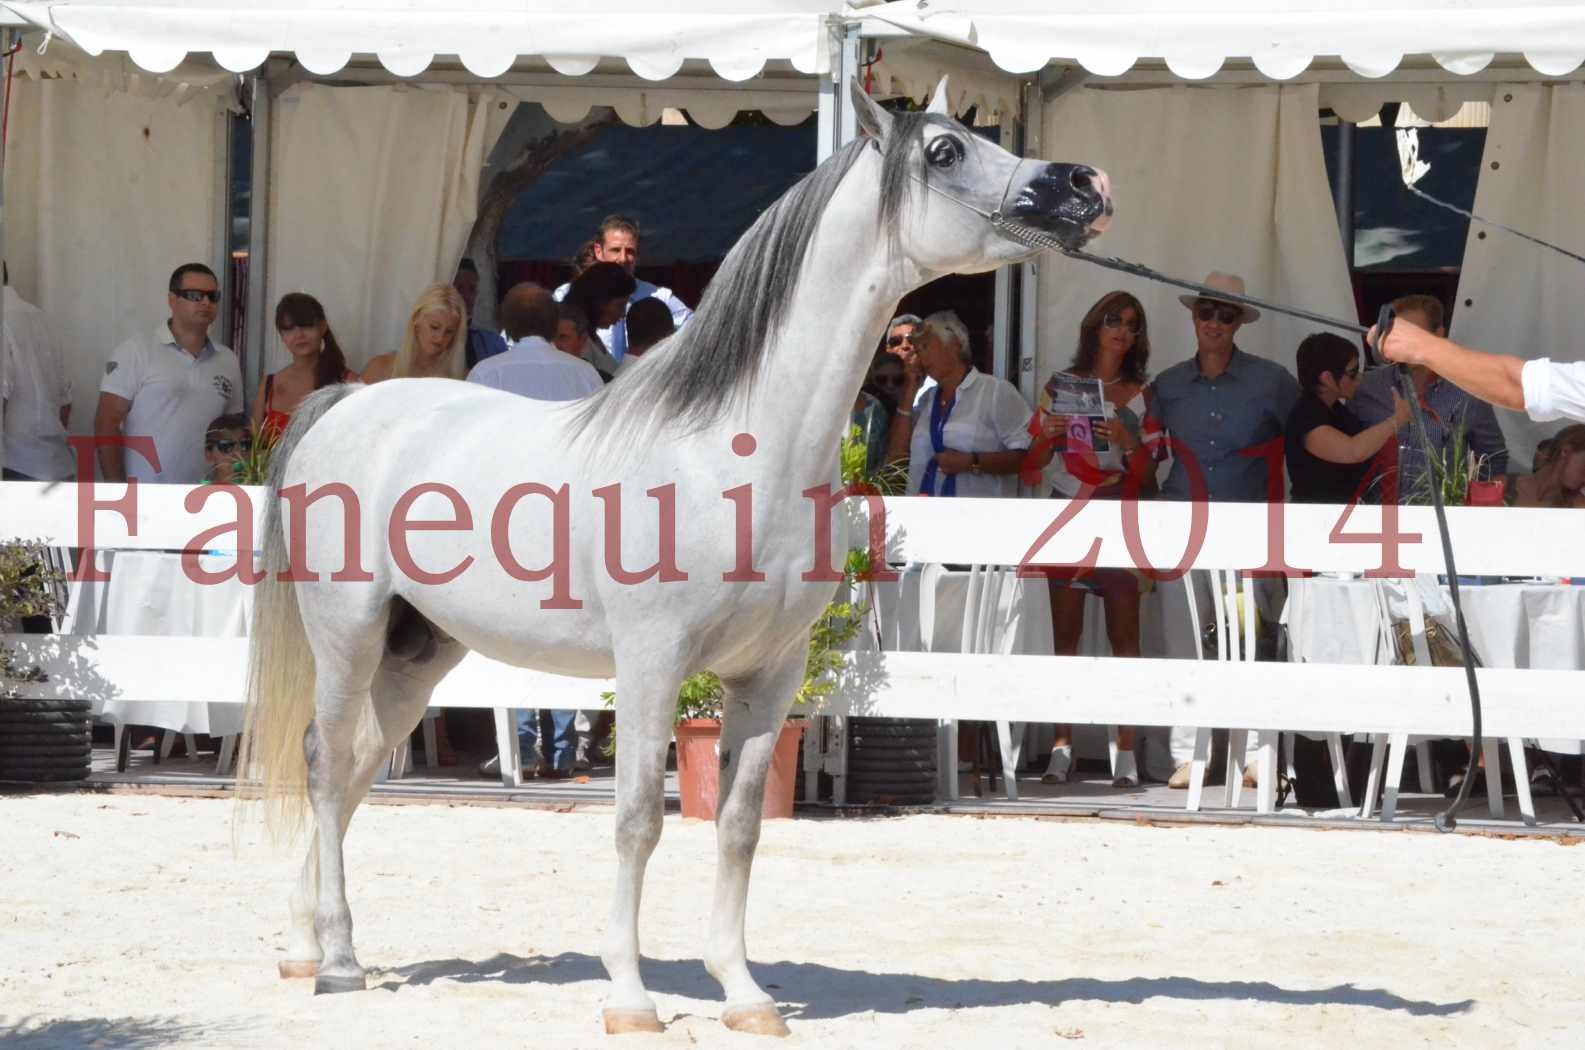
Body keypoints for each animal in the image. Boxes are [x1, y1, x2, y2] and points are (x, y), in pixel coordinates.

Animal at [240, 80, 1109, 1034]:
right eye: (945, 151)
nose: (1081, 183)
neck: (735, 451)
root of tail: (347, 401)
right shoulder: (652, 664)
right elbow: (635, 822)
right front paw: (628, 998)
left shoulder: (769, 674)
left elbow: (737, 826)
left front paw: (744, 993)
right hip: (348, 634)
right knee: (324, 766)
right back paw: (339, 962)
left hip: (418, 654)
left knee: (357, 765)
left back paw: (302, 945)